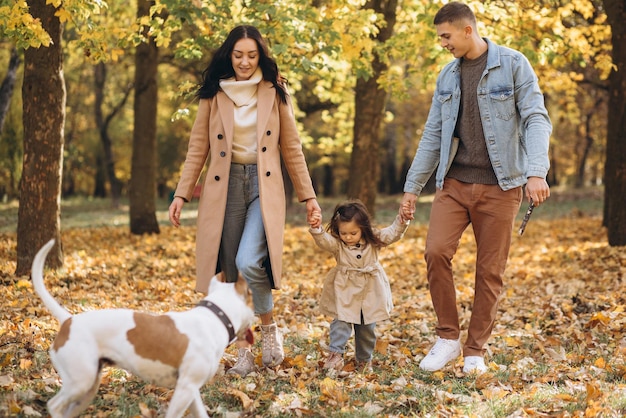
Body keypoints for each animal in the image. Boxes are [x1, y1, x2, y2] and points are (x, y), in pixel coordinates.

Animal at [30, 238, 255, 418]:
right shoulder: (185, 389)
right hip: (80, 382)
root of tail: (69, 321)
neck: (215, 316)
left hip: (87, 388)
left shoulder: (190, 391)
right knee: (54, 405)